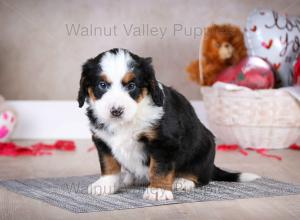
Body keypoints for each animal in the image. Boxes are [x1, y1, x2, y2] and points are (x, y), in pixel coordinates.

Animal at [77, 48, 258, 201]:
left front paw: (158, 190)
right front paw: (105, 184)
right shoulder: (102, 140)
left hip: (205, 148)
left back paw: (183, 181)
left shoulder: (164, 141)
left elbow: (159, 168)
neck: (128, 120)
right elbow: (108, 163)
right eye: (102, 85)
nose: (116, 111)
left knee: (201, 175)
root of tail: (212, 166)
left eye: (131, 86)